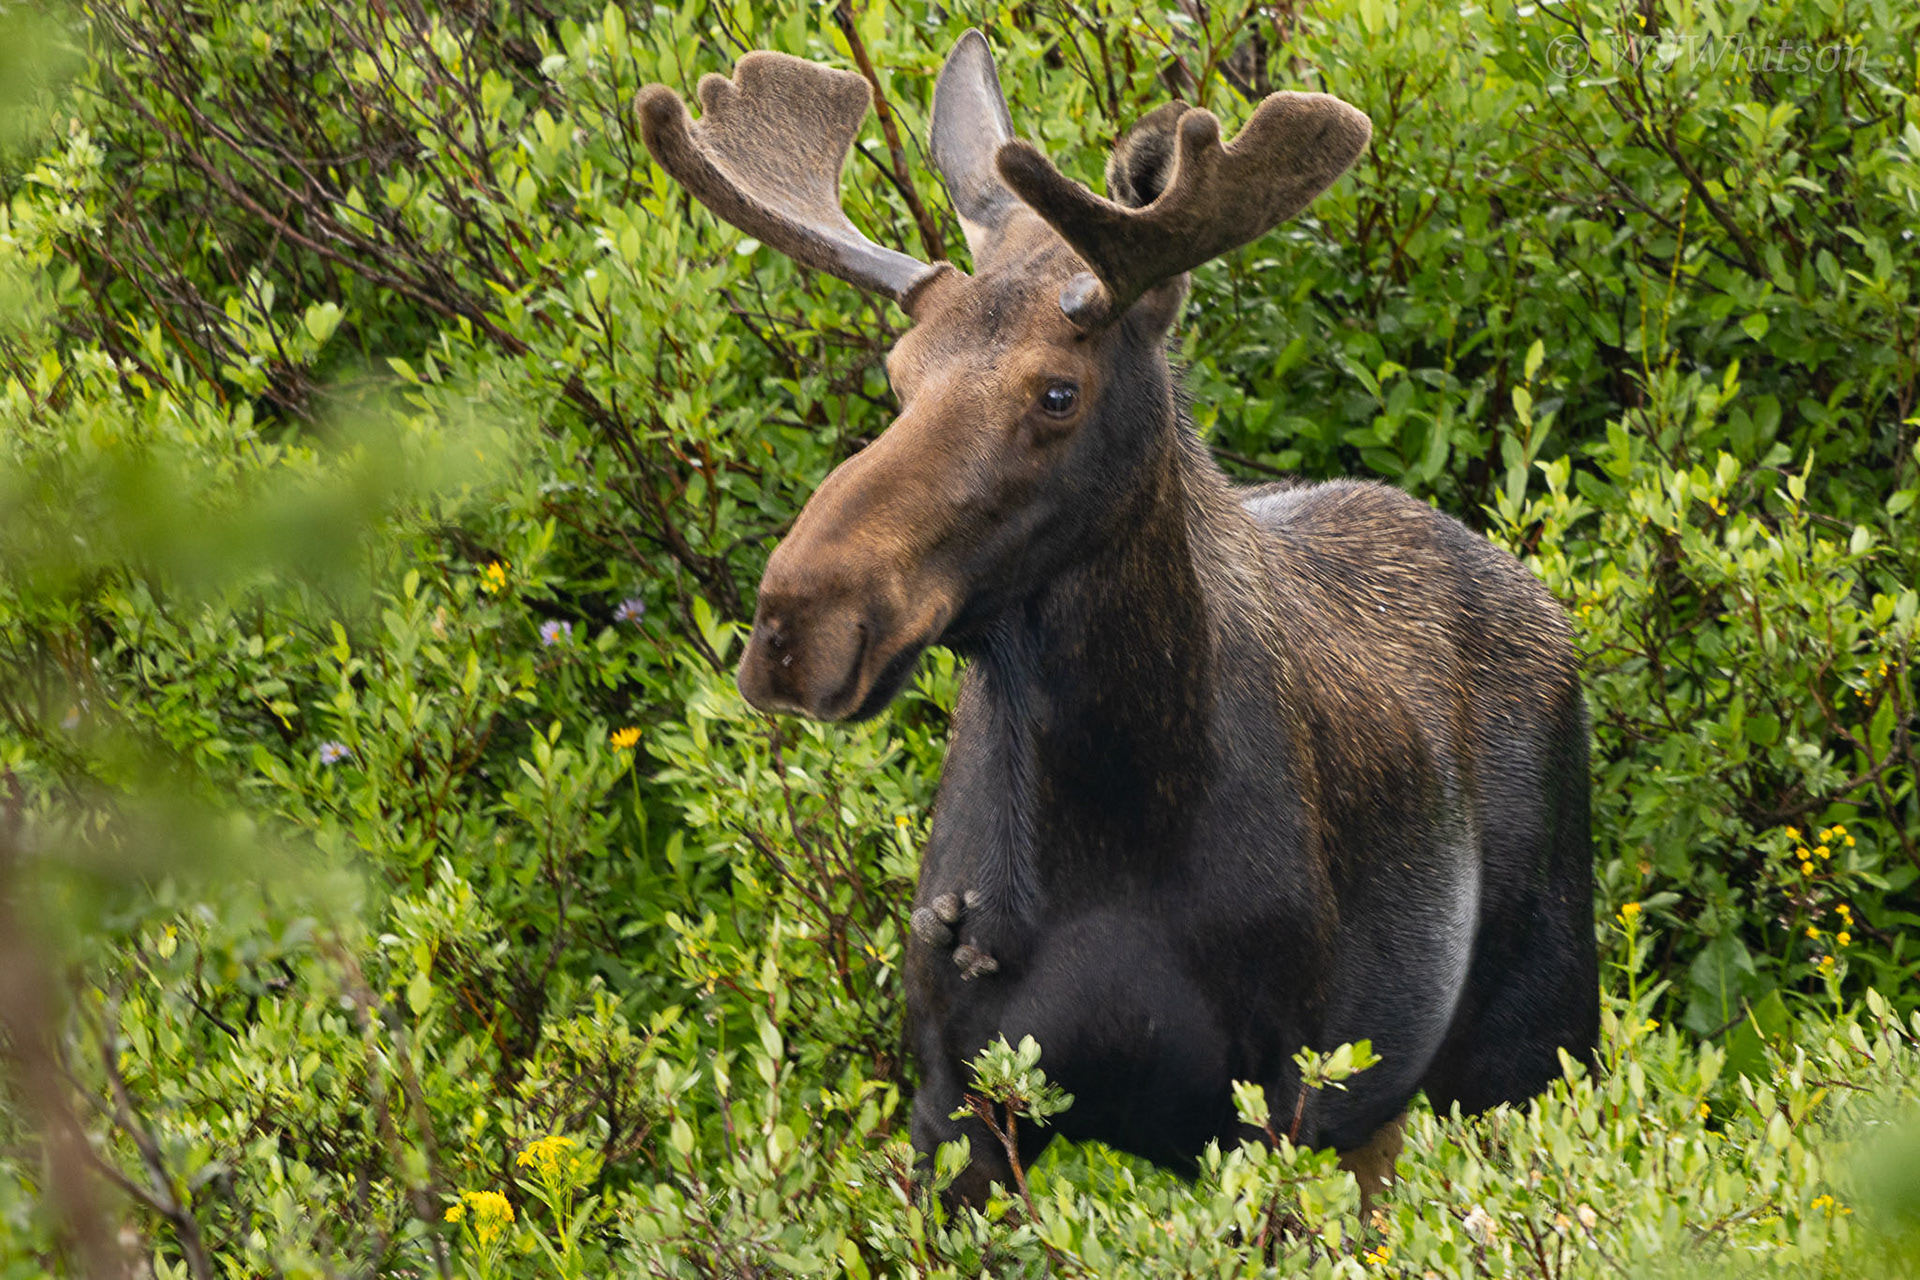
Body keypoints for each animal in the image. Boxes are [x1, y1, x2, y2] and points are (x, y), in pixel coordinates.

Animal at [638, 30, 1598, 1207]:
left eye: (1058, 392)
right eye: (898, 373)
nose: (794, 626)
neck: (1111, 827)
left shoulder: (1276, 1106)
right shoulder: (959, 1103)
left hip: (1533, 1046)